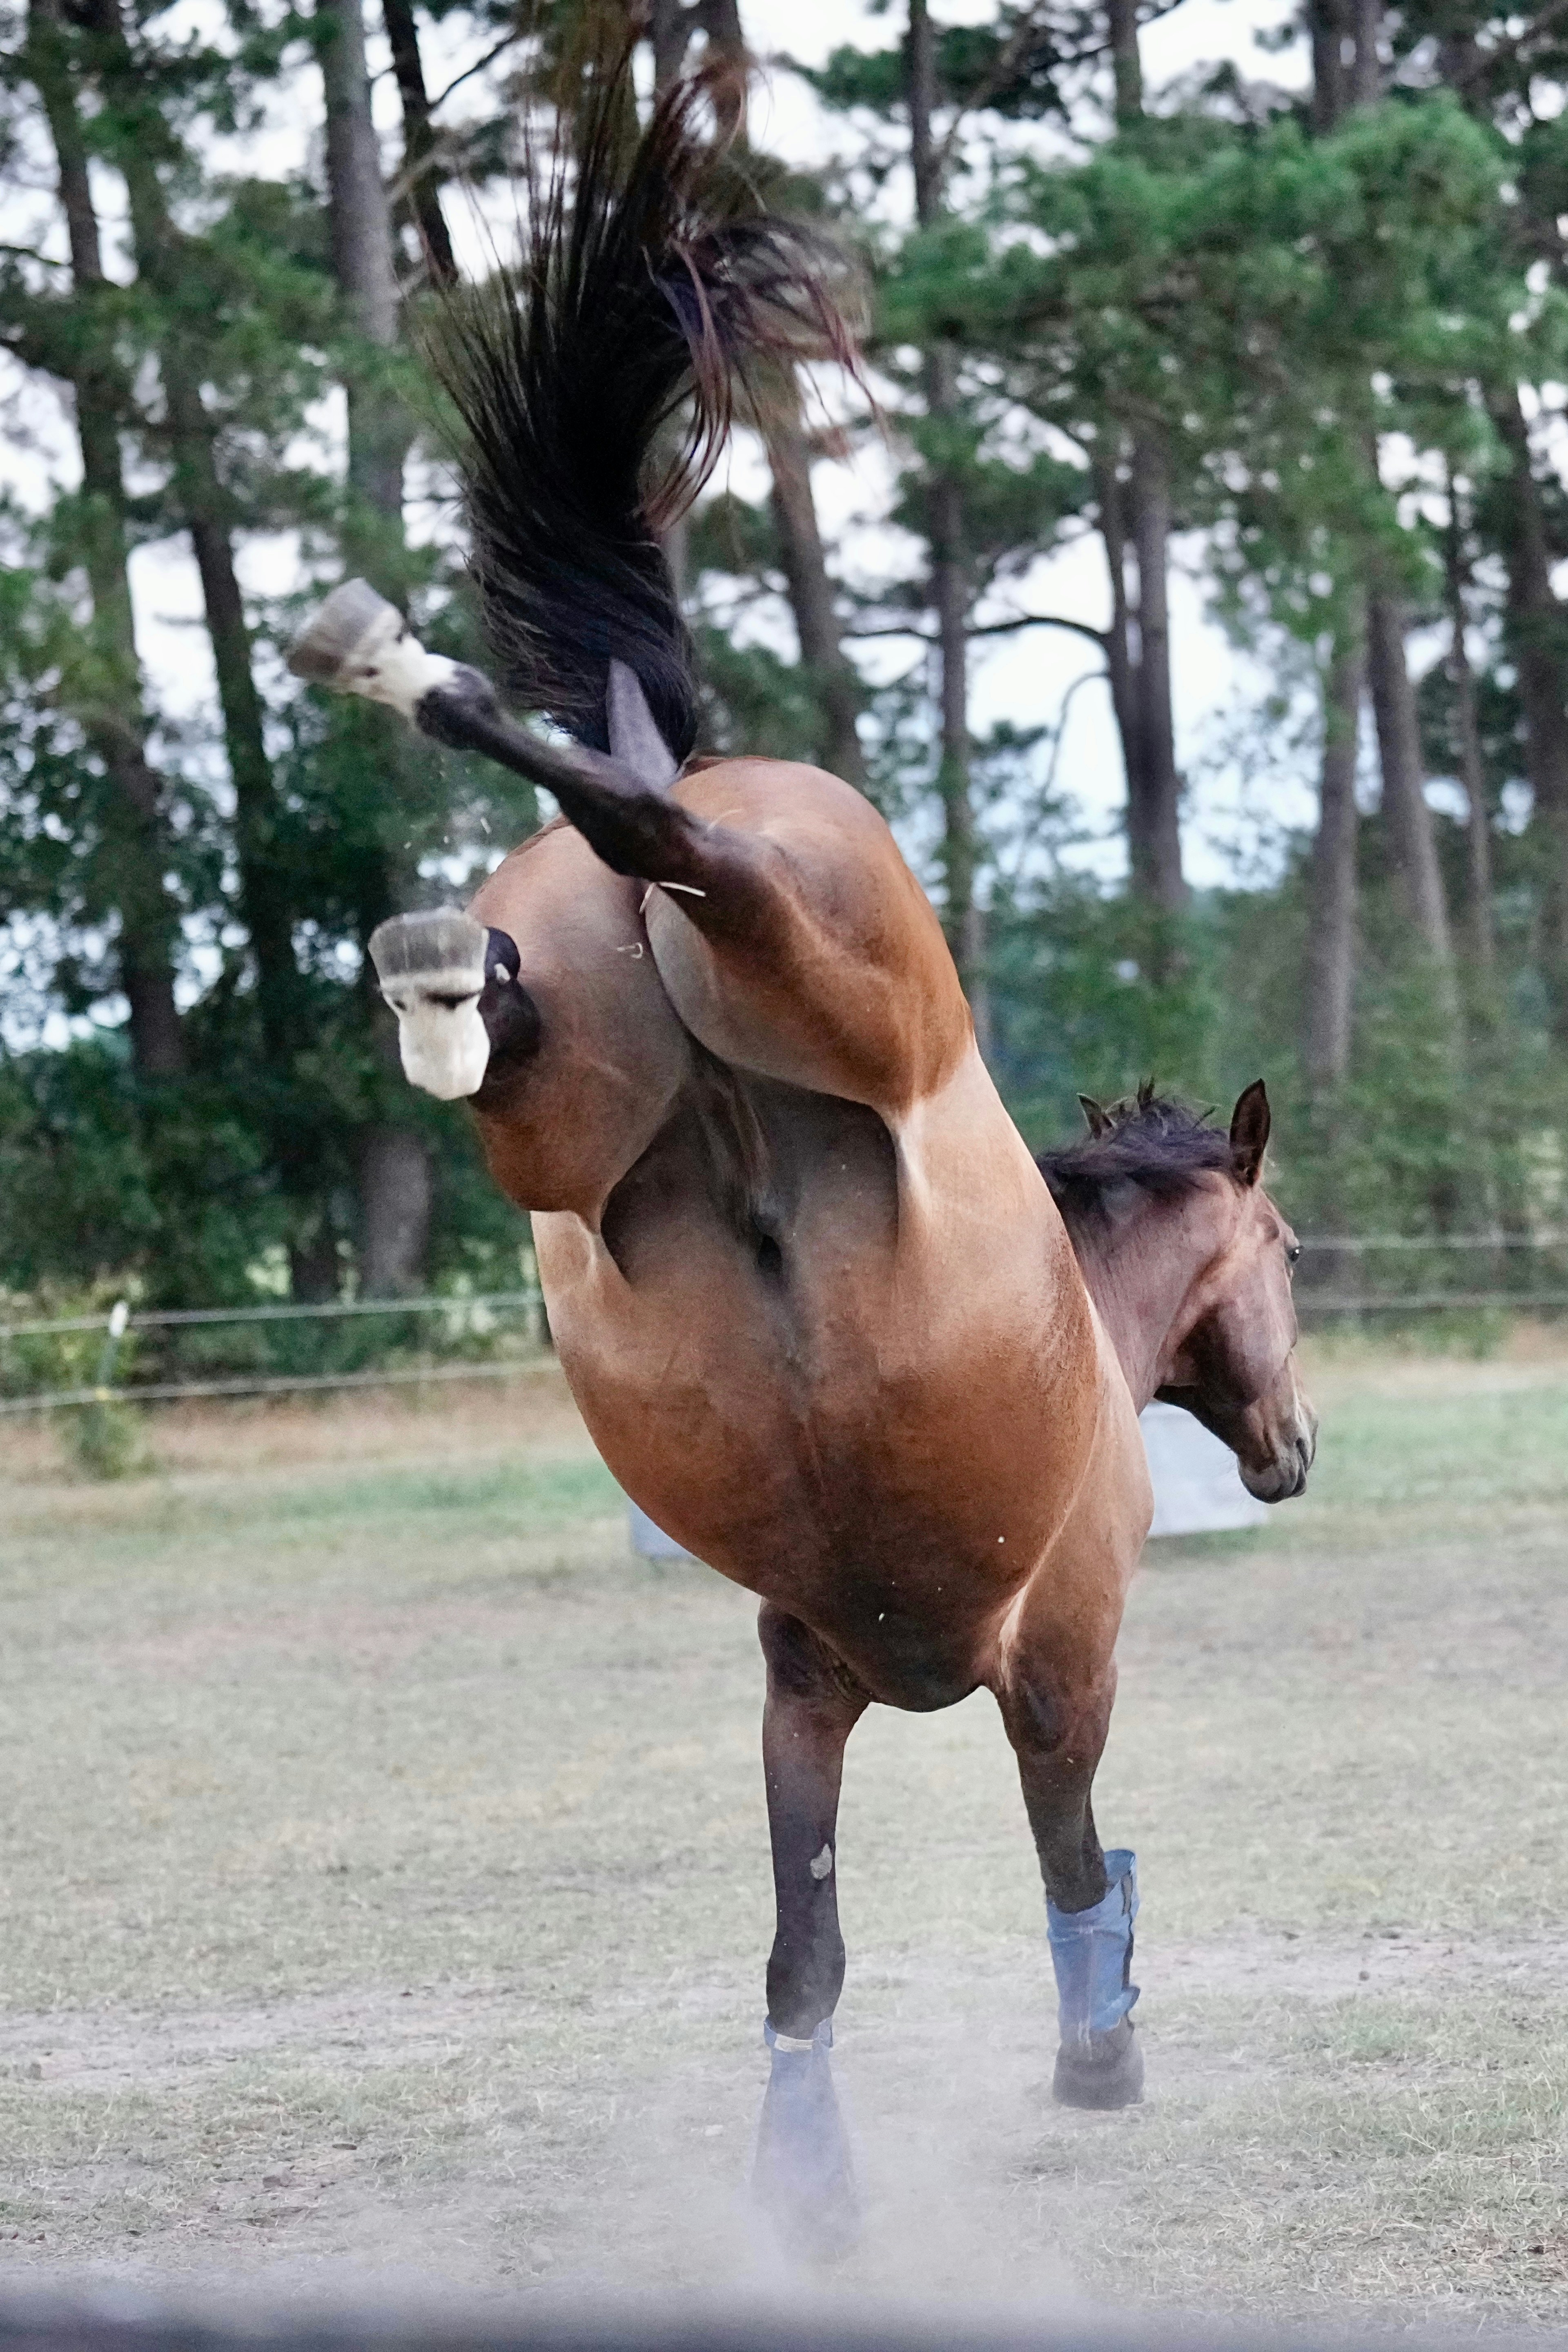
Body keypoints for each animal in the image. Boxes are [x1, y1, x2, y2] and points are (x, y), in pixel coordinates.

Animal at [287, 46, 1316, 2257]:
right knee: (689, 844)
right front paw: (1098, 2054)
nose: (1290, 1455)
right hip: (833, 967)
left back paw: (434, 892)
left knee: (558, 933)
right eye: (1287, 1261)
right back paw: (427, 698)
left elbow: (803, 1955)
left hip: (563, 1137)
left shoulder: (798, 1688)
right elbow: (1070, 1863)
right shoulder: (1061, 1663)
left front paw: (808, 2195)